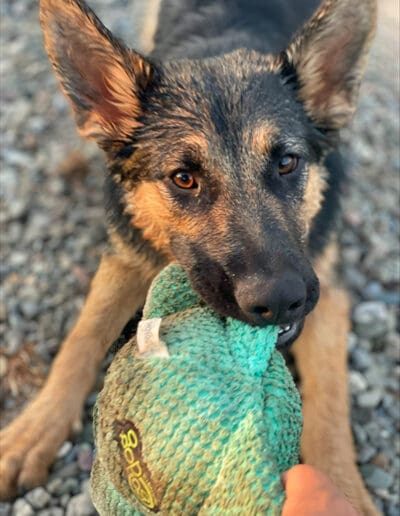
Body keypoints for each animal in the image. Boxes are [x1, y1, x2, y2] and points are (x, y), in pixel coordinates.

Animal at [0, 0, 376, 512]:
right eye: (183, 179)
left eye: (286, 163)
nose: (280, 299)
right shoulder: (125, 256)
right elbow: (82, 337)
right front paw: (33, 430)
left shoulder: (329, 289)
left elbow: (333, 399)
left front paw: (342, 487)